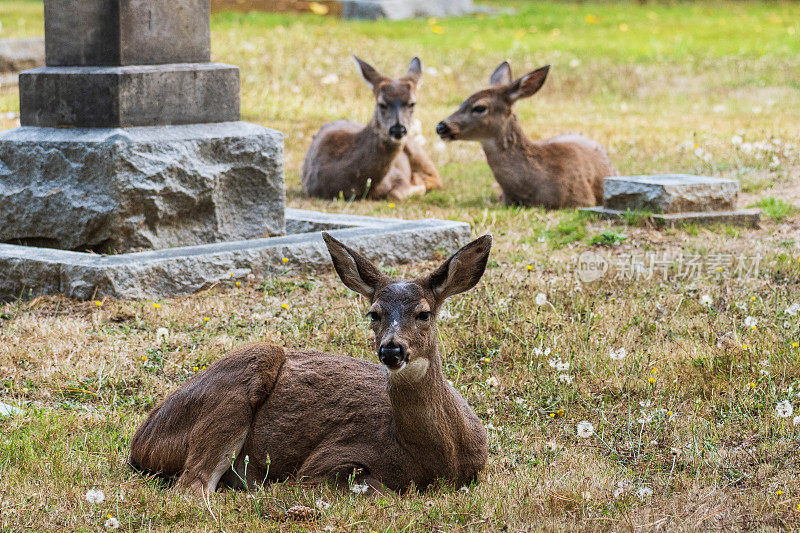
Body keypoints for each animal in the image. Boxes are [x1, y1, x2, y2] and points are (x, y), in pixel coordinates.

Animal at [130, 233, 490, 494]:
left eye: (424, 313)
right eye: (373, 313)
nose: (392, 350)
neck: (438, 458)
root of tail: (141, 441)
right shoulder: (327, 459)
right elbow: (376, 488)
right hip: (247, 371)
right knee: (191, 488)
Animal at [302, 56, 440, 202]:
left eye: (412, 103)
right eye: (381, 103)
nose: (398, 130)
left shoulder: (398, 175)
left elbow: (395, 194)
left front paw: (416, 182)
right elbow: (395, 194)